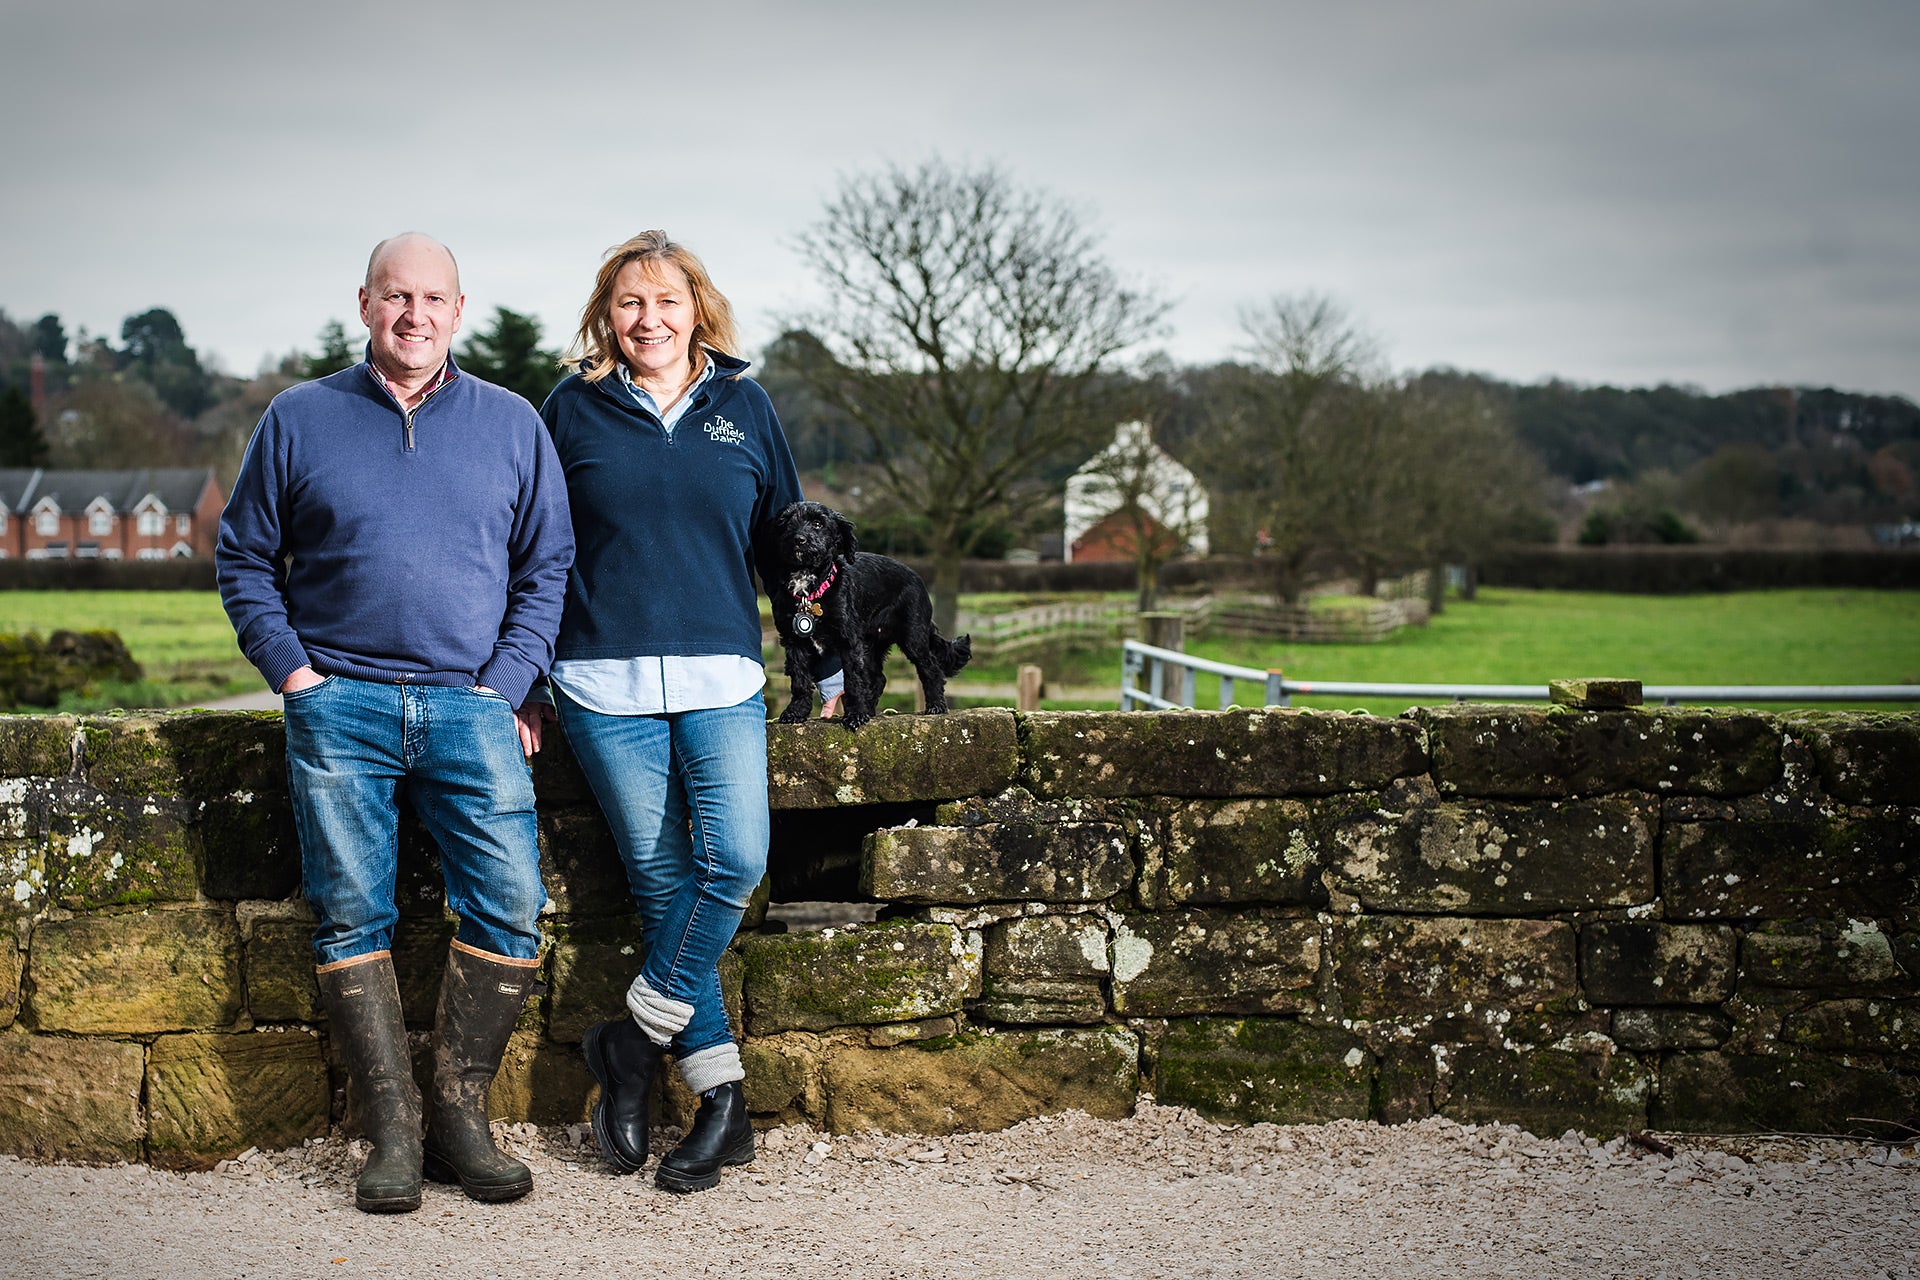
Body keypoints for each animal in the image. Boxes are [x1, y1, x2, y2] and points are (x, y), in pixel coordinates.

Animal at [768, 506, 975, 736]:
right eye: (786, 522)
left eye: (818, 524)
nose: (799, 539)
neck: (809, 592)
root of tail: (918, 579)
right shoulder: (794, 642)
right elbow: (799, 679)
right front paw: (796, 712)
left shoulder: (849, 642)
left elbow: (853, 680)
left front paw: (855, 715)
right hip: (872, 645)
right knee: (879, 678)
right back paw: (870, 708)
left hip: (913, 637)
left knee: (931, 668)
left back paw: (936, 706)